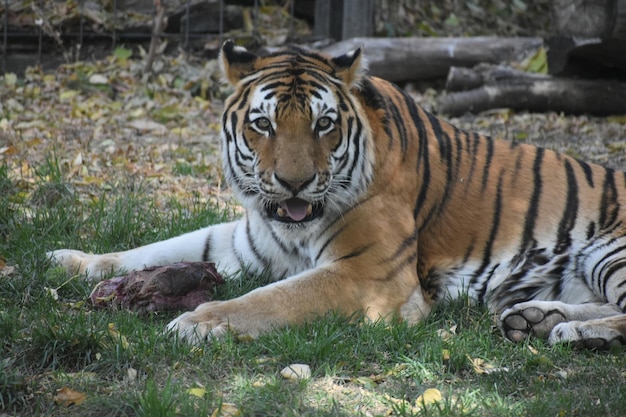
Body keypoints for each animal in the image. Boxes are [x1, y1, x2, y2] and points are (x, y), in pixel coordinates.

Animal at [48, 41, 624, 348]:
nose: (294, 183)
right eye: (263, 123)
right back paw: (535, 319)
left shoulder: (369, 273)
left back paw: (573, 334)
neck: (286, 222)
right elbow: (154, 249)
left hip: (608, 250)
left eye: (324, 124)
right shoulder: (244, 242)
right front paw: (69, 261)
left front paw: (197, 322)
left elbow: (273, 298)